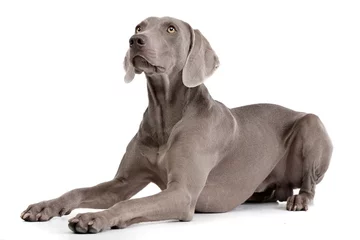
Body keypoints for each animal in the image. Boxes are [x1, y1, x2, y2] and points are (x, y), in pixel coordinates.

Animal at [21, 16, 334, 232]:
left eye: (171, 29)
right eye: (139, 26)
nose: (134, 40)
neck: (166, 117)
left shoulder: (182, 194)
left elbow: (131, 202)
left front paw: (95, 217)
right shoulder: (122, 183)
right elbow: (83, 191)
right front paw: (45, 206)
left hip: (311, 124)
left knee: (307, 185)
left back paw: (300, 200)